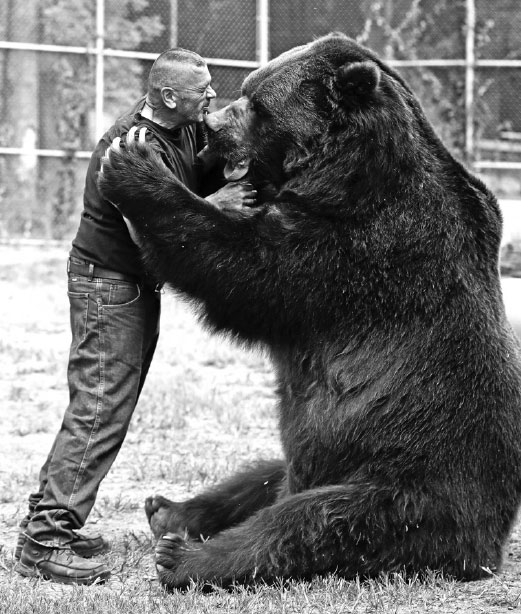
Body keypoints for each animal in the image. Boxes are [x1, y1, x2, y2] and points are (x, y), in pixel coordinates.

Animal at [98, 31, 521, 588]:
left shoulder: (362, 248)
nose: (213, 127)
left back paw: (184, 557)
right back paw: (170, 510)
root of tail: (492, 541)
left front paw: (135, 168)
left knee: (311, 521)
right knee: (261, 475)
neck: (345, 173)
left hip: (410, 486)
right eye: (246, 90)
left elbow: (248, 268)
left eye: (257, 105)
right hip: (322, 467)